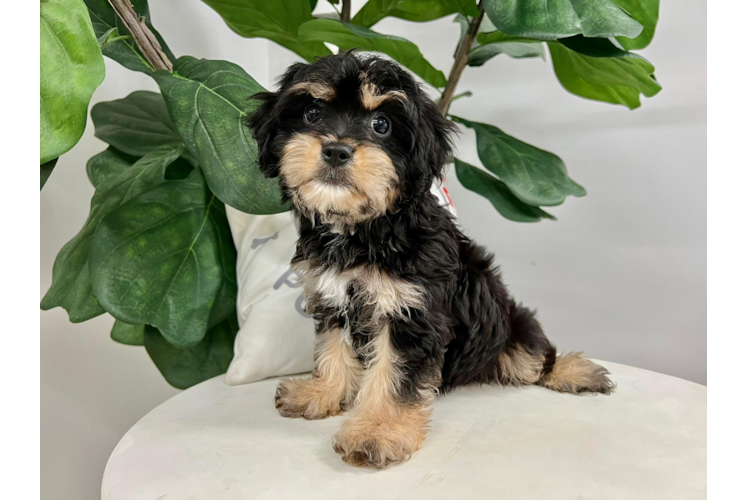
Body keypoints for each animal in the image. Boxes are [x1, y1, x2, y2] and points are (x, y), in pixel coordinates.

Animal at [248, 53, 612, 468]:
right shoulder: (333, 298)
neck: (366, 228)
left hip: (511, 328)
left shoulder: (411, 313)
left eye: (382, 124)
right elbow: (332, 350)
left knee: (536, 360)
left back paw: (573, 370)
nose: (336, 150)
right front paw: (322, 393)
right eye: (312, 113)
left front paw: (377, 432)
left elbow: (395, 376)